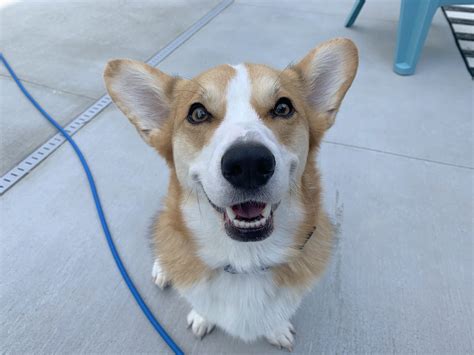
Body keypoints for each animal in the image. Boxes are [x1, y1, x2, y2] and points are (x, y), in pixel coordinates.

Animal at [103, 39, 356, 350]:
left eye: (283, 107)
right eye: (198, 113)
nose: (248, 163)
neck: (245, 261)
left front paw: (276, 329)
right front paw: (202, 317)